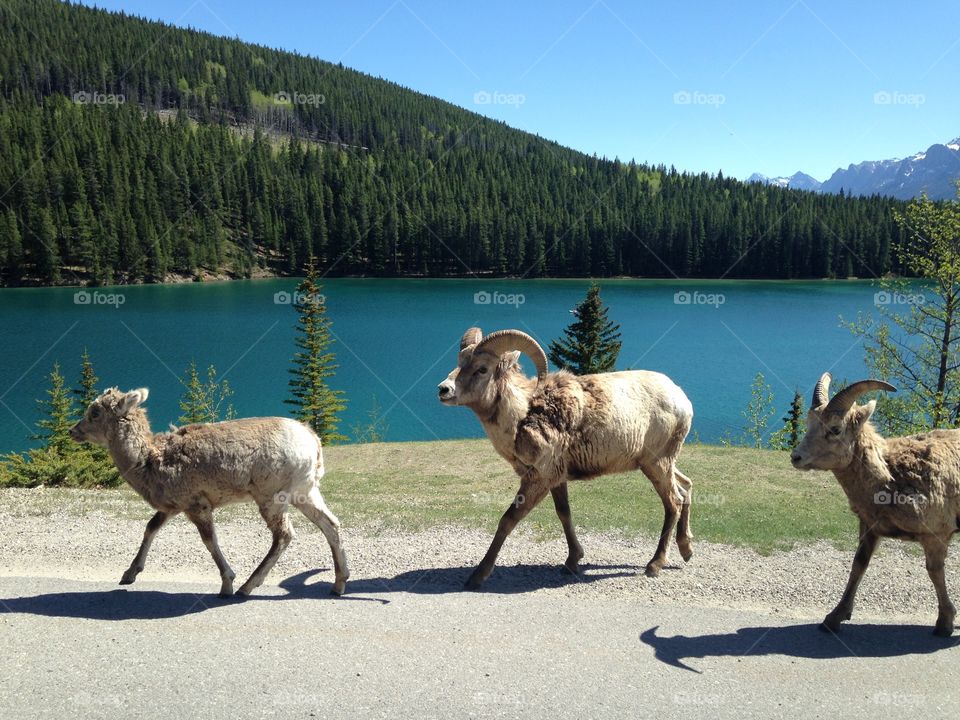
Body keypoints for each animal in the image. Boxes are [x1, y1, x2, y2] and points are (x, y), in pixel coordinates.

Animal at [70, 388, 348, 596]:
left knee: (284, 535)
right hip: (306, 493)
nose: (73, 431)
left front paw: (227, 584)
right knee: (331, 524)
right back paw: (338, 584)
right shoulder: (172, 507)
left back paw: (246, 587)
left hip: (272, 498)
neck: (149, 461)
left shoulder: (197, 505)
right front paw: (128, 575)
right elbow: (150, 528)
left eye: (94, 412)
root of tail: (312, 441)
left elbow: (209, 541)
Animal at [438, 330, 692, 588]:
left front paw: (477, 576)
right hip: (663, 464)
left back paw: (655, 565)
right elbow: (564, 513)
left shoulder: (539, 478)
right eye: (460, 362)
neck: (523, 415)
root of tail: (682, 399)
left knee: (673, 502)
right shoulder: (557, 478)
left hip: (657, 464)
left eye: (482, 369)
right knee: (685, 489)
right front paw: (572, 562)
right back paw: (686, 550)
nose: (443, 389)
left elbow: (508, 520)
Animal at [792, 374, 956, 640]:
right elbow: (858, 565)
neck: (892, 476)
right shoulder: (869, 527)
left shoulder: (936, 535)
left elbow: (934, 572)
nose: (796, 457)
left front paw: (944, 624)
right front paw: (833, 619)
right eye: (809, 424)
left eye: (835, 429)